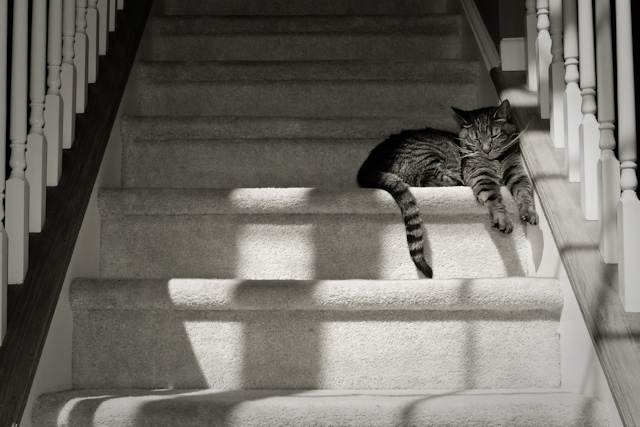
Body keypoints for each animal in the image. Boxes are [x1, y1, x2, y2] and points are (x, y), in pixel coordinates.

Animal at [358, 99, 536, 280]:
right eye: (476, 139)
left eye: (494, 136)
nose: (486, 150)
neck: (497, 160)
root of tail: (367, 166)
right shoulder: (481, 175)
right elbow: (493, 197)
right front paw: (502, 219)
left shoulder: (516, 172)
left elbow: (524, 191)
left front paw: (529, 211)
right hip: (429, 156)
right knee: (427, 181)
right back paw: (458, 182)